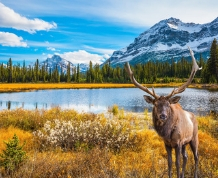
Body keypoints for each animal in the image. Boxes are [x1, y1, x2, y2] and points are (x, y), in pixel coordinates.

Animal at [125, 47, 202, 178]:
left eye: (168, 104)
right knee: (186, 157)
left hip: (193, 138)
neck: (167, 133)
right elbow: (169, 163)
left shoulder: (178, 142)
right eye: (155, 104)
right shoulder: (167, 144)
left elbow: (177, 163)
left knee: (196, 157)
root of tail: (194, 116)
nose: (163, 115)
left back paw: (195, 174)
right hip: (185, 143)